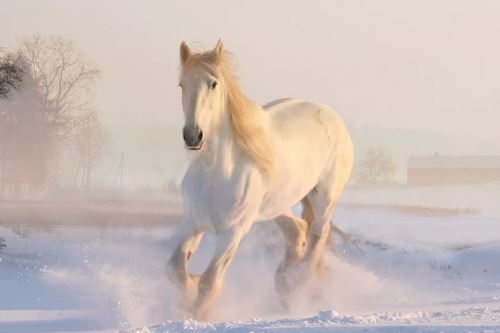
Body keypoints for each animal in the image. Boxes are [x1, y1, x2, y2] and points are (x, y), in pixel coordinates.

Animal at [170, 39, 354, 320]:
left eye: (213, 83)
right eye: (182, 84)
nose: (193, 135)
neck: (215, 173)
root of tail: (332, 116)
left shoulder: (232, 232)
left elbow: (210, 281)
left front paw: (196, 312)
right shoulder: (192, 221)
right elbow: (176, 268)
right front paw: (189, 289)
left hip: (324, 196)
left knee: (317, 234)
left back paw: (299, 282)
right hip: (276, 205)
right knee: (297, 230)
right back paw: (285, 283)